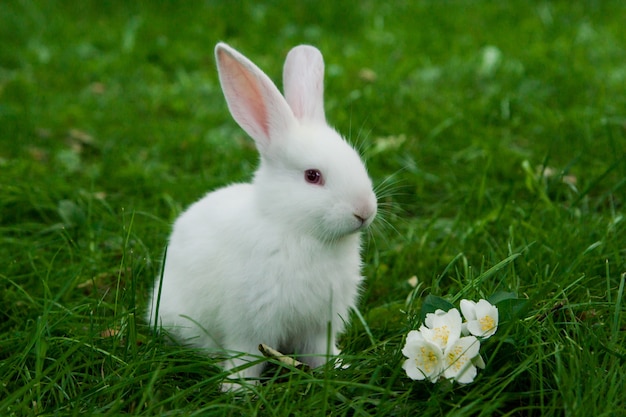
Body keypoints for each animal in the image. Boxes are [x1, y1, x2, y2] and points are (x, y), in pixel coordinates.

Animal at [147, 43, 376, 386]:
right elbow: (246, 357)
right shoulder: (249, 324)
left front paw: (337, 370)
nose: (365, 211)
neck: (295, 230)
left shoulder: (319, 325)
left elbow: (320, 352)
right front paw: (239, 389)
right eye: (312, 176)